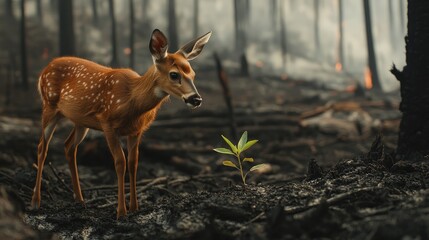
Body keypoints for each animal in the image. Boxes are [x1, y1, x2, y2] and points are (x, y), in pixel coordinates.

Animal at [30, 29, 211, 218]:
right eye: (174, 74)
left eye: (193, 74)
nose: (196, 99)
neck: (132, 99)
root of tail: (45, 69)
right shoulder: (107, 123)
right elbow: (120, 162)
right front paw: (121, 212)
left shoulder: (137, 131)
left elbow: (133, 163)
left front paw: (135, 207)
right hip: (49, 105)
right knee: (42, 147)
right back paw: (35, 202)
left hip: (81, 121)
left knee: (69, 146)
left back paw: (80, 200)